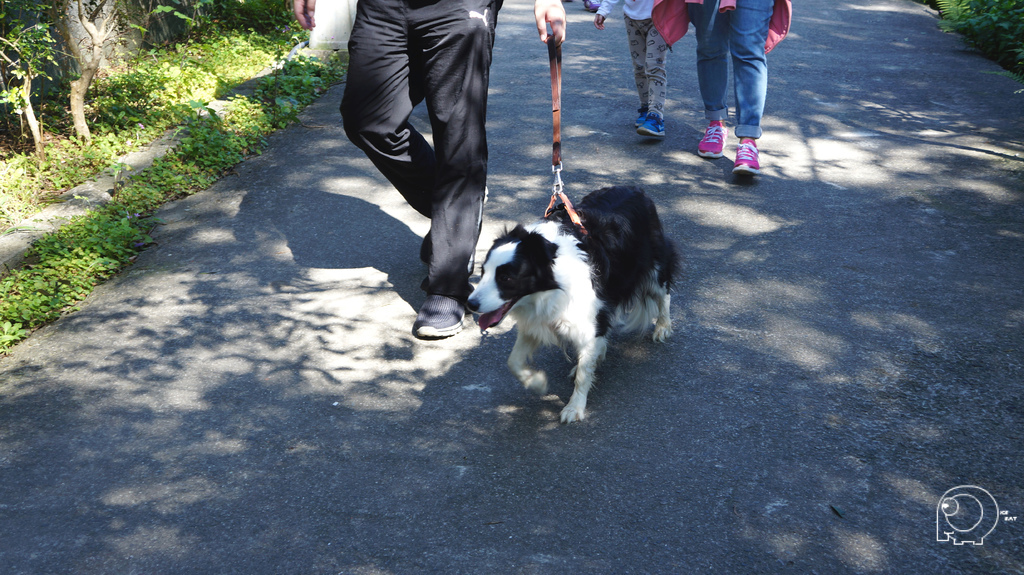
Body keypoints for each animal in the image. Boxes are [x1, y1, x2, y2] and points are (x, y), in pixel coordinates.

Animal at [466, 186, 675, 423]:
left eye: (506, 278)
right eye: (483, 272)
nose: (471, 303)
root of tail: (635, 189)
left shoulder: (585, 316)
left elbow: (584, 372)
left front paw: (574, 407)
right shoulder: (538, 319)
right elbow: (513, 361)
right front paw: (538, 383)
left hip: (653, 265)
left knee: (664, 293)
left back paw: (663, 327)